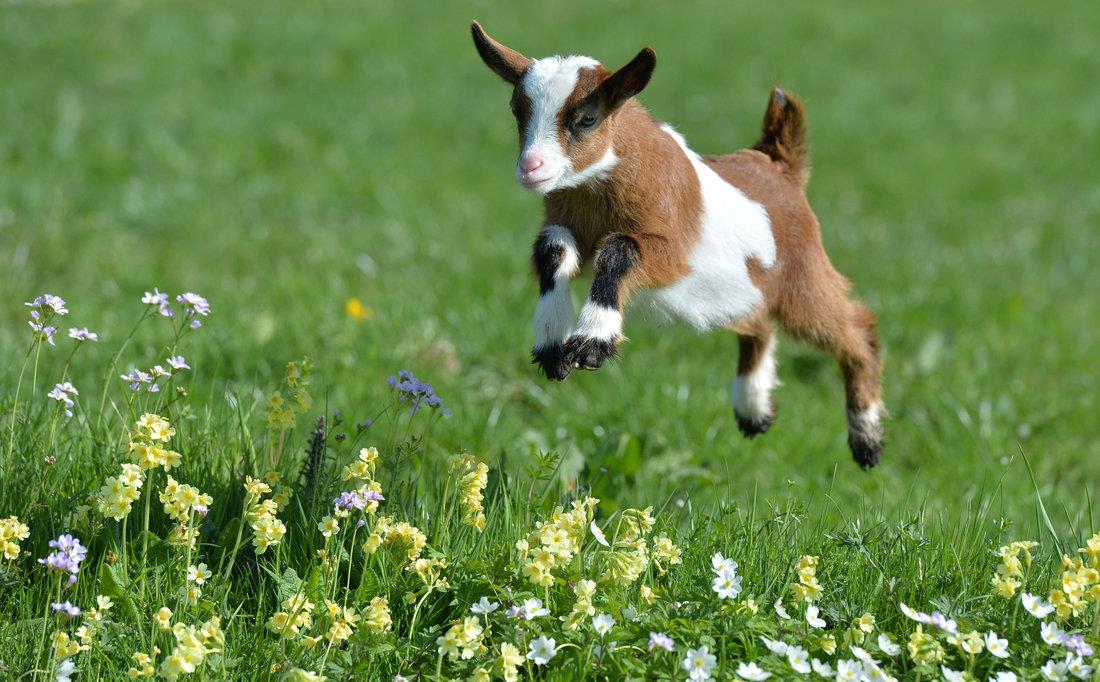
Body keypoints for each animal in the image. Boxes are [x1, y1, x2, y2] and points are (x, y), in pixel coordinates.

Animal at [470, 22, 884, 468]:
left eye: (587, 119)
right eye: (517, 111)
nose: (531, 168)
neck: (600, 187)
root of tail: (778, 163)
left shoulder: (672, 252)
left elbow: (619, 249)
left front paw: (594, 342)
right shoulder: (565, 222)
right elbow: (552, 249)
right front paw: (552, 344)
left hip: (802, 276)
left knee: (855, 328)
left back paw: (866, 437)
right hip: (747, 288)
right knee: (759, 324)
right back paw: (753, 409)